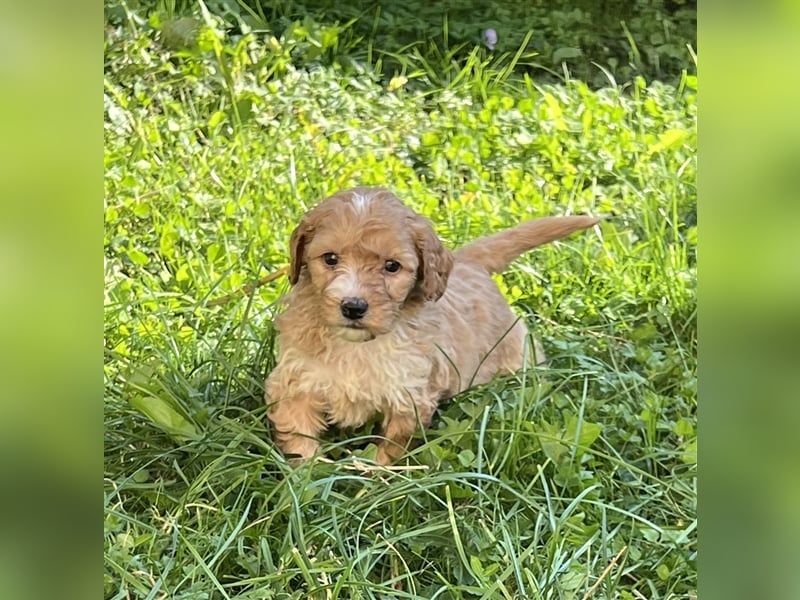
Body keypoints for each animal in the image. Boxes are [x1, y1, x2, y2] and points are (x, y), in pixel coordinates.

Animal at [266, 188, 596, 464]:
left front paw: (375, 483)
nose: (353, 307)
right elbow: (299, 437)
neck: (358, 346)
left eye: (392, 266)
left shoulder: (410, 395)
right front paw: (308, 477)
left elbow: (393, 447)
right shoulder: (295, 383)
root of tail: (468, 261)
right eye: (330, 258)